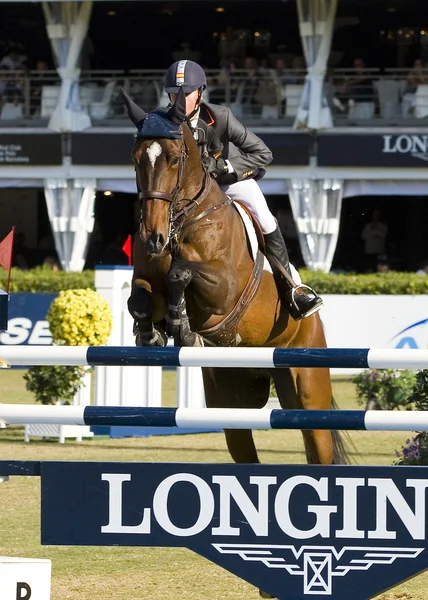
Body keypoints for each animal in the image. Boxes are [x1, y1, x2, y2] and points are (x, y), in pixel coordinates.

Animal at [122, 85, 350, 468]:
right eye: (136, 158)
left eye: (174, 159)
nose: (153, 238)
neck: (182, 220)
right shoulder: (145, 280)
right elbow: (138, 300)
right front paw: (151, 333)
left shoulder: (223, 290)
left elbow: (181, 273)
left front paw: (181, 325)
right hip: (230, 395)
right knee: (243, 446)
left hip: (307, 387)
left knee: (318, 443)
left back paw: (302, 299)